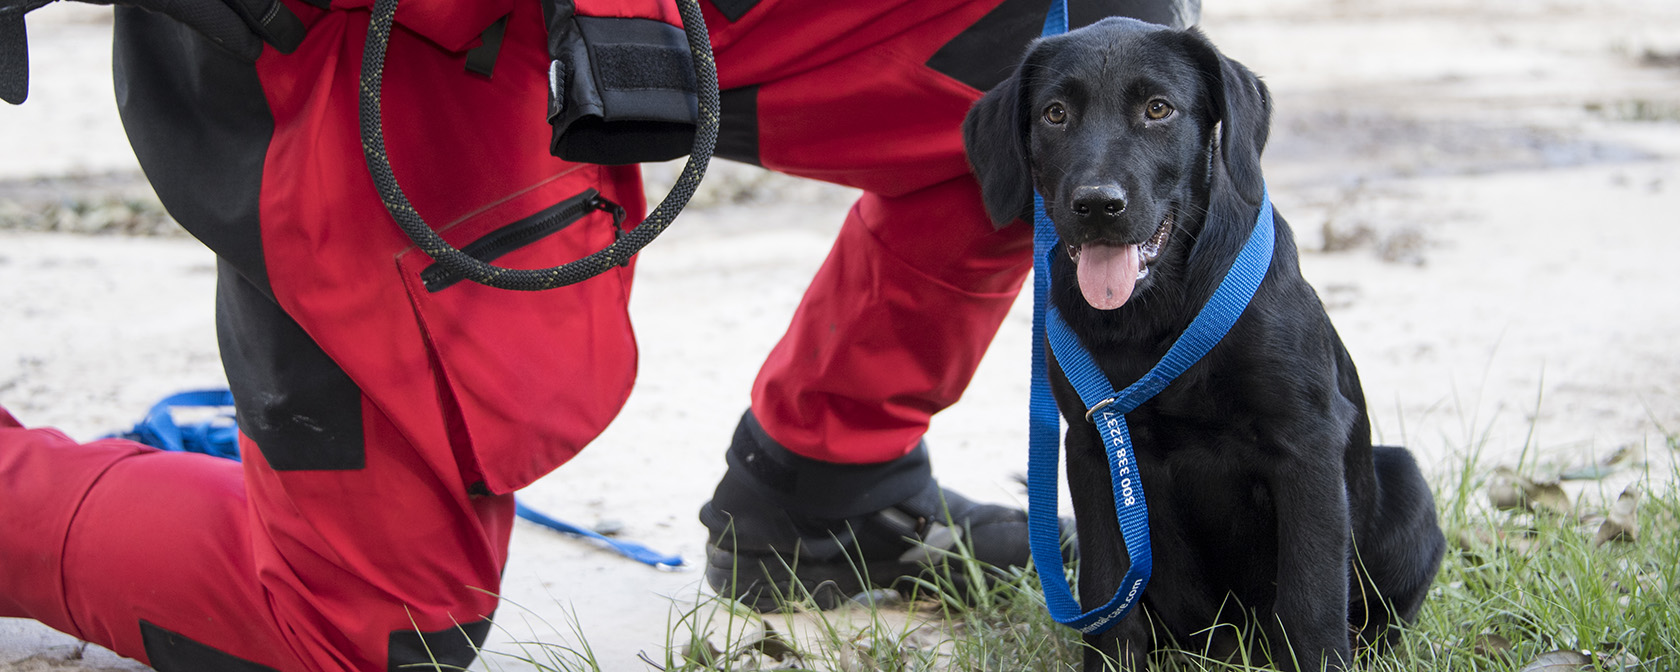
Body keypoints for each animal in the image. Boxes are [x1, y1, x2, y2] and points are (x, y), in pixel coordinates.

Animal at [967, 18, 1451, 668]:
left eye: (1158, 108)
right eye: (1055, 114)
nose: (1097, 204)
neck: (1154, 318)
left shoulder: (1308, 443)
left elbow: (1311, 599)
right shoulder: (1094, 449)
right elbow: (1107, 597)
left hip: (1405, 483)